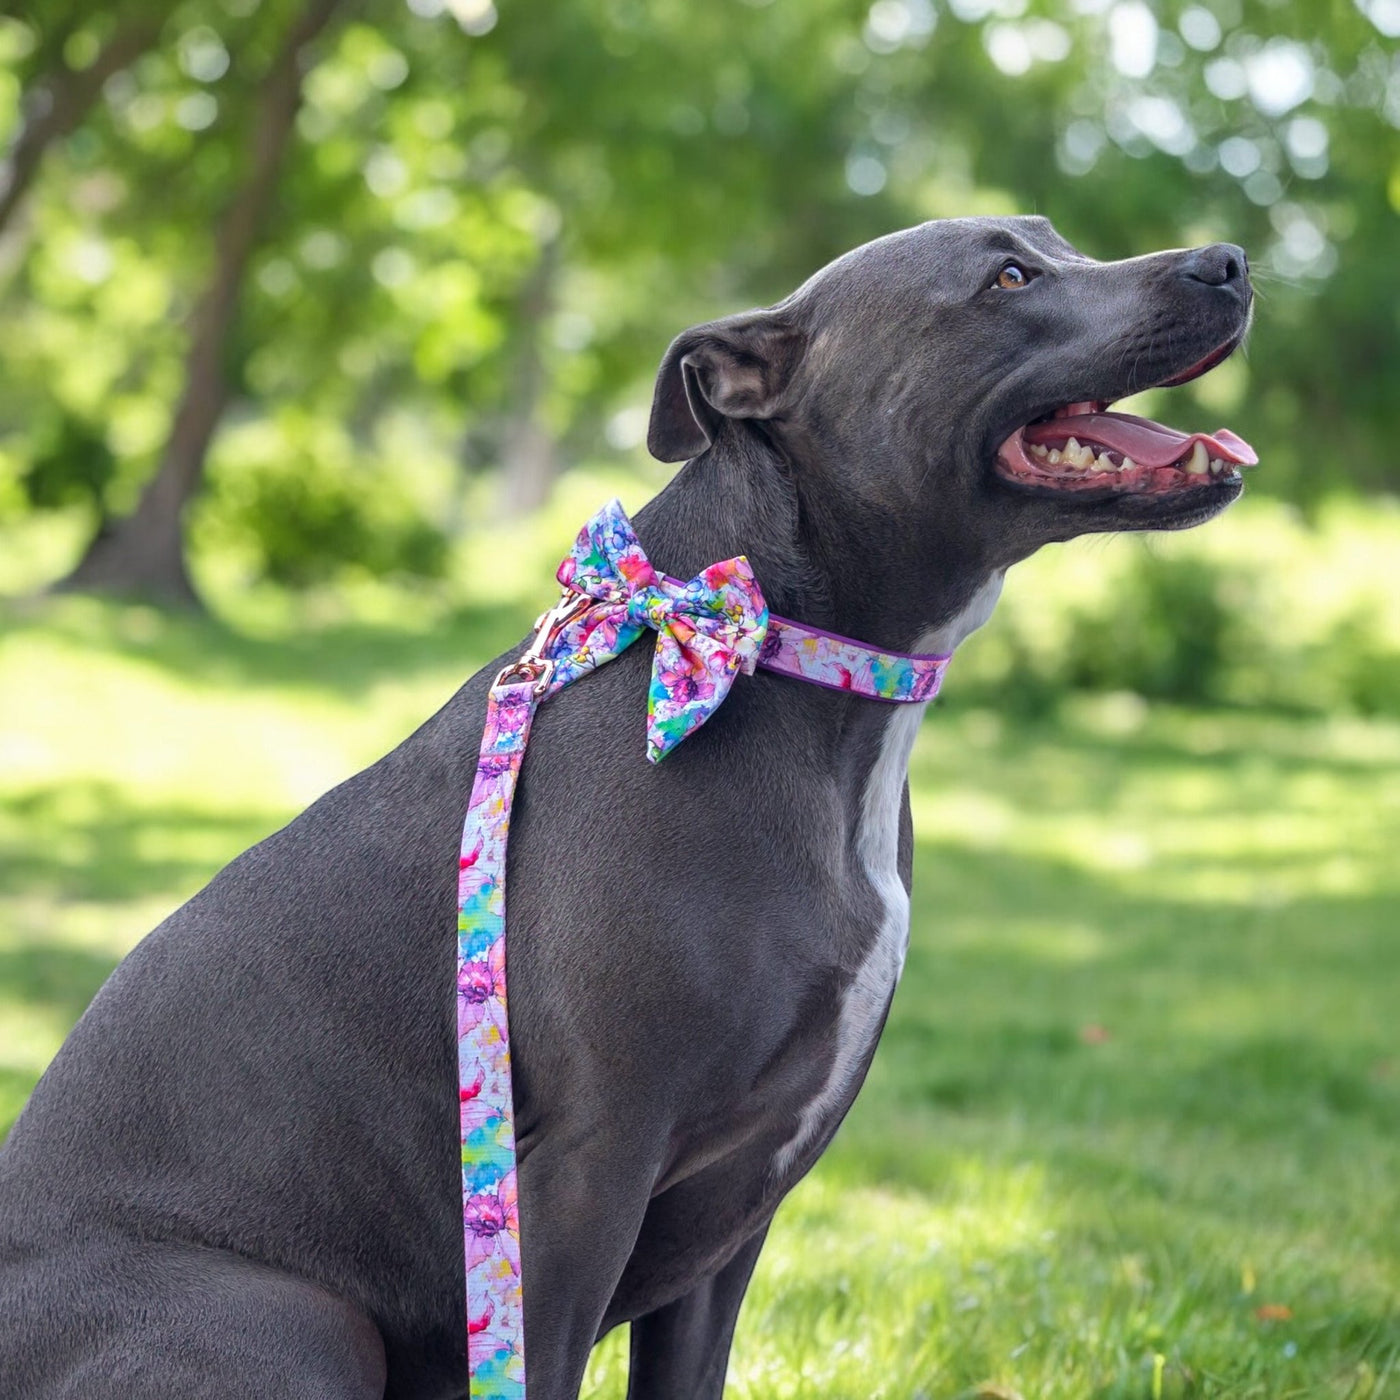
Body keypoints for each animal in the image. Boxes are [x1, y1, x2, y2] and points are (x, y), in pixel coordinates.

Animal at [0, 212, 1248, 1394]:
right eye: (1006, 278)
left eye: (1052, 242)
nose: (1228, 259)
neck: (786, 658)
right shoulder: (585, 1167)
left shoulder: (730, 1216)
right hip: (286, 1316)